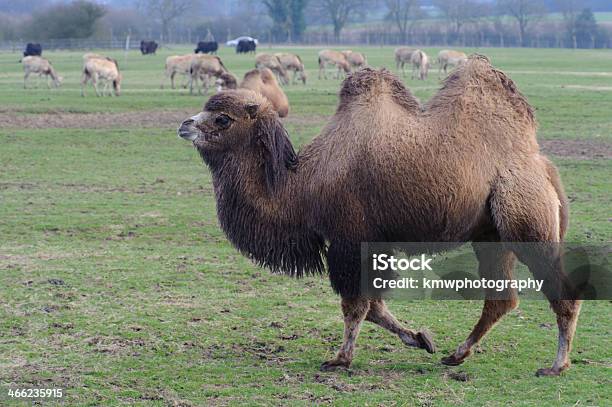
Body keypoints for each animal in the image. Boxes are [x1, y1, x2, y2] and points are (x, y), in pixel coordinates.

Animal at [179, 55, 580, 378]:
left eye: (222, 119)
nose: (184, 125)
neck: (301, 185)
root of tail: (542, 164)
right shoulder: (370, 244)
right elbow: (374, 306)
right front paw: (421, 338)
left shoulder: (350, 238)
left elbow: (356, 304)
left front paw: (340, 359)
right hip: (490, 234)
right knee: (501, 299)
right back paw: (456, 355)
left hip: (525, 219)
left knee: (558, 289)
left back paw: (556, 365)